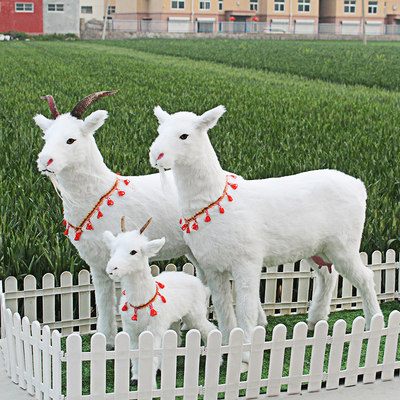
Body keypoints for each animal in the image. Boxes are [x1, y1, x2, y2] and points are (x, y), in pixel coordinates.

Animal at [34, 91, 264, 346]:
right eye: (46, 137)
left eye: (71, 140)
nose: (45, 162)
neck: (99, 193)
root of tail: (234, 178)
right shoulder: (97, 263)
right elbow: (103, 301)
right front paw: (106, 339)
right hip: (194, 250)